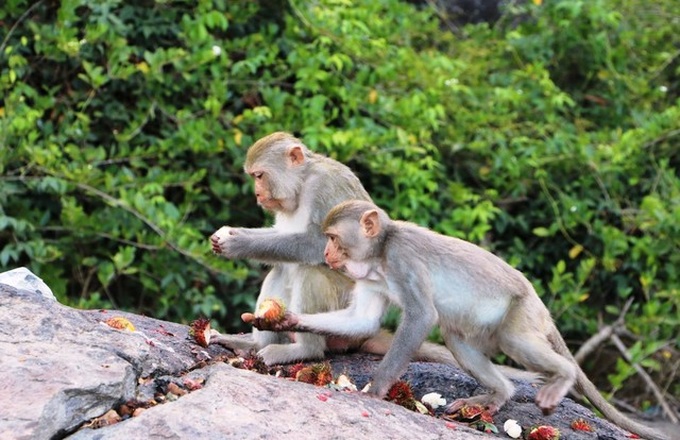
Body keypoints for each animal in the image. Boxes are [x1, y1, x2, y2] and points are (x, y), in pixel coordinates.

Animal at [246, 199, 668, 440]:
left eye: (333, 237)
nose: (327, 254)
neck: (380, 254)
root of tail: (539, 303)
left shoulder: (404, 259)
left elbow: (420, 317)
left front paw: (377, 389)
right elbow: (361, 320)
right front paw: (284, 322)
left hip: (522, 313)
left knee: (513, 341)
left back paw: (561, 376)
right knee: (458, 342)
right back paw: (498, 395)